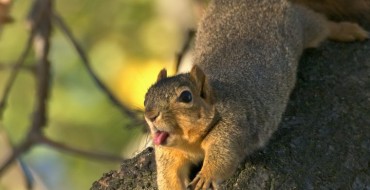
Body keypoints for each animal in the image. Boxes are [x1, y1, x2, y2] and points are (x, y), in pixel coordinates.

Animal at [143, 0, 368, 189]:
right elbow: (169, 177)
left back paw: (348, 30)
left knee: (321, 24)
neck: (190, 143)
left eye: (186, 97)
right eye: (146, 98)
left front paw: (206, 176)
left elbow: (223, 157)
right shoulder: (169, 154)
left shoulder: (234, 127)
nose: (150, 115)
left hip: (300, 24)